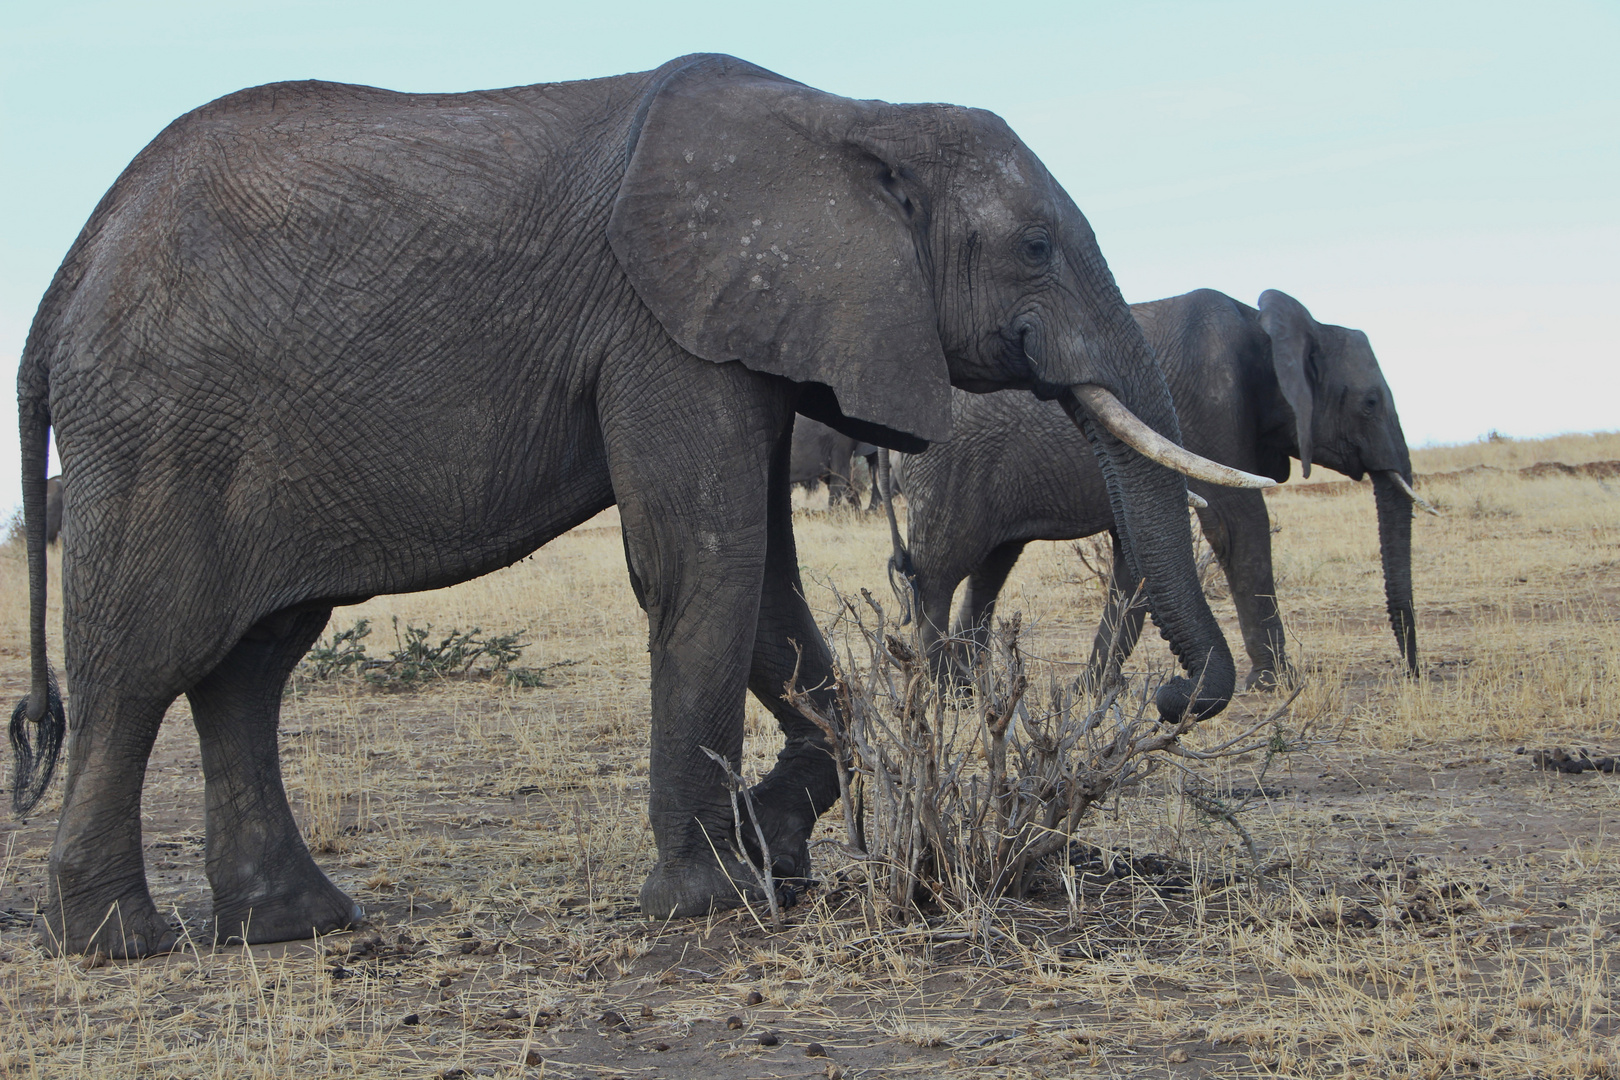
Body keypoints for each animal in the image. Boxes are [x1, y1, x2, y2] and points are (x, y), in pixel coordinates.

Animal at [6, 55, 1270, 958]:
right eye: (1037, 244)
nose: (1167, 697)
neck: (850, 116)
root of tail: (65, 277)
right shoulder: (664, 329)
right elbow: (704, 564)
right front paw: (712, 901)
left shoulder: (750, 335)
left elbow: (765, 586)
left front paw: (775, 851)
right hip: (160, 427)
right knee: (145, 663)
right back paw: (117, 943)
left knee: (250, 665)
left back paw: (297, 925)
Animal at [900, 286, 1419, 689]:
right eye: (1370, 404)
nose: (1413, 674)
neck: (1268, 330)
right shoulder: (1215, 405)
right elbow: (1239, 525)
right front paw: (1275, 684)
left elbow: (1136, 561)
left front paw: (1093, 690)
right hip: (947, 473)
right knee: (941, 574)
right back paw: (943, 692)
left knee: (990, 568)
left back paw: (969, 687)